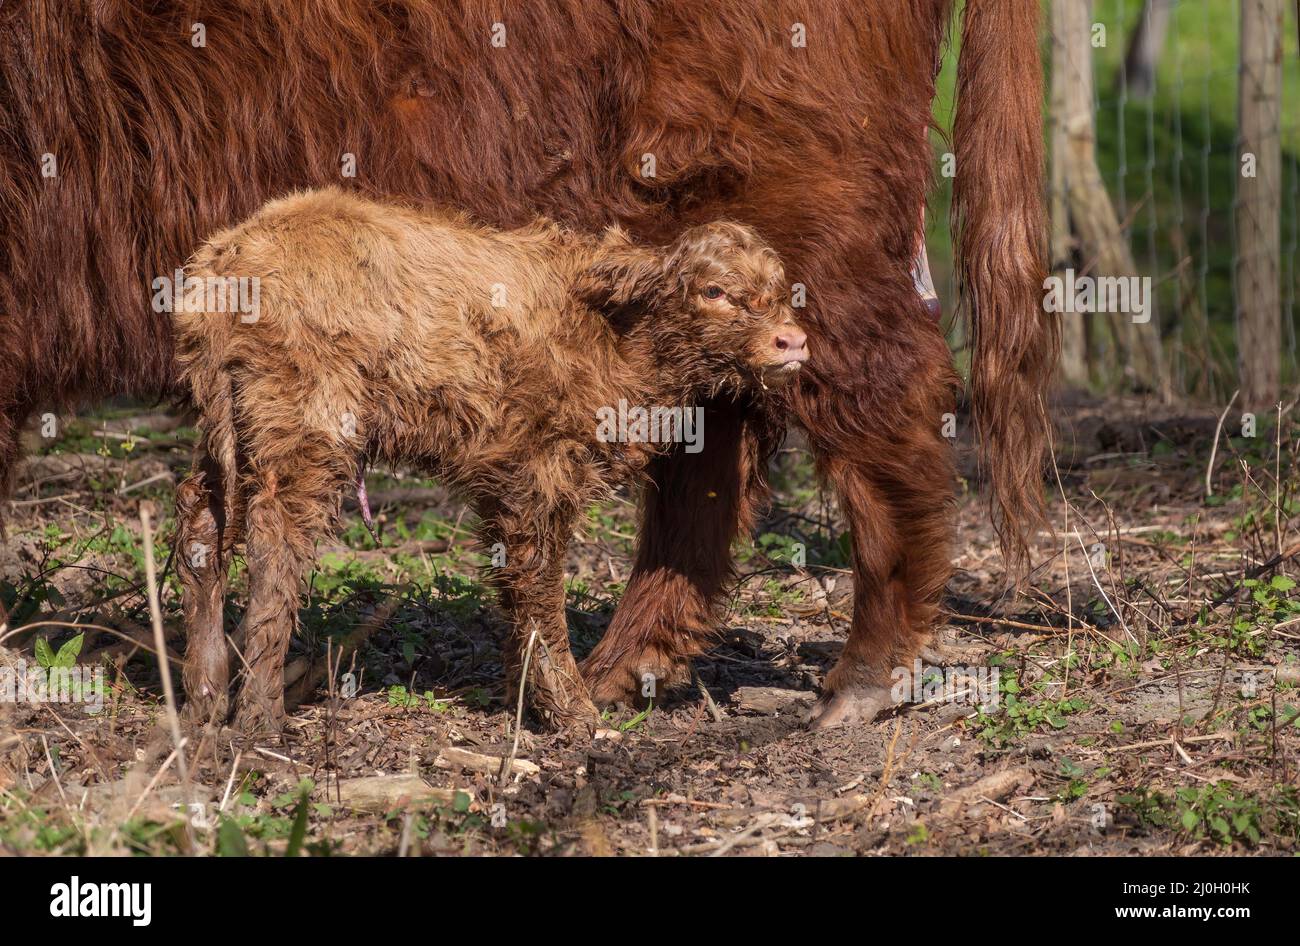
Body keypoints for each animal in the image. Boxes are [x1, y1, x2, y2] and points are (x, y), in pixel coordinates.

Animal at [169, 184, 806, 732]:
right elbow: (539, 586)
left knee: (203, 522)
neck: (617, 338)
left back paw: (205, 696)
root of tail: (226, 259)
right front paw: (572, 713)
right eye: (713, 291)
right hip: (304, 422)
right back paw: (258, 717)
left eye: (778, 292)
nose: (792, 341)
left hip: (229, 424)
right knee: (275, 544)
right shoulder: (535, 475)